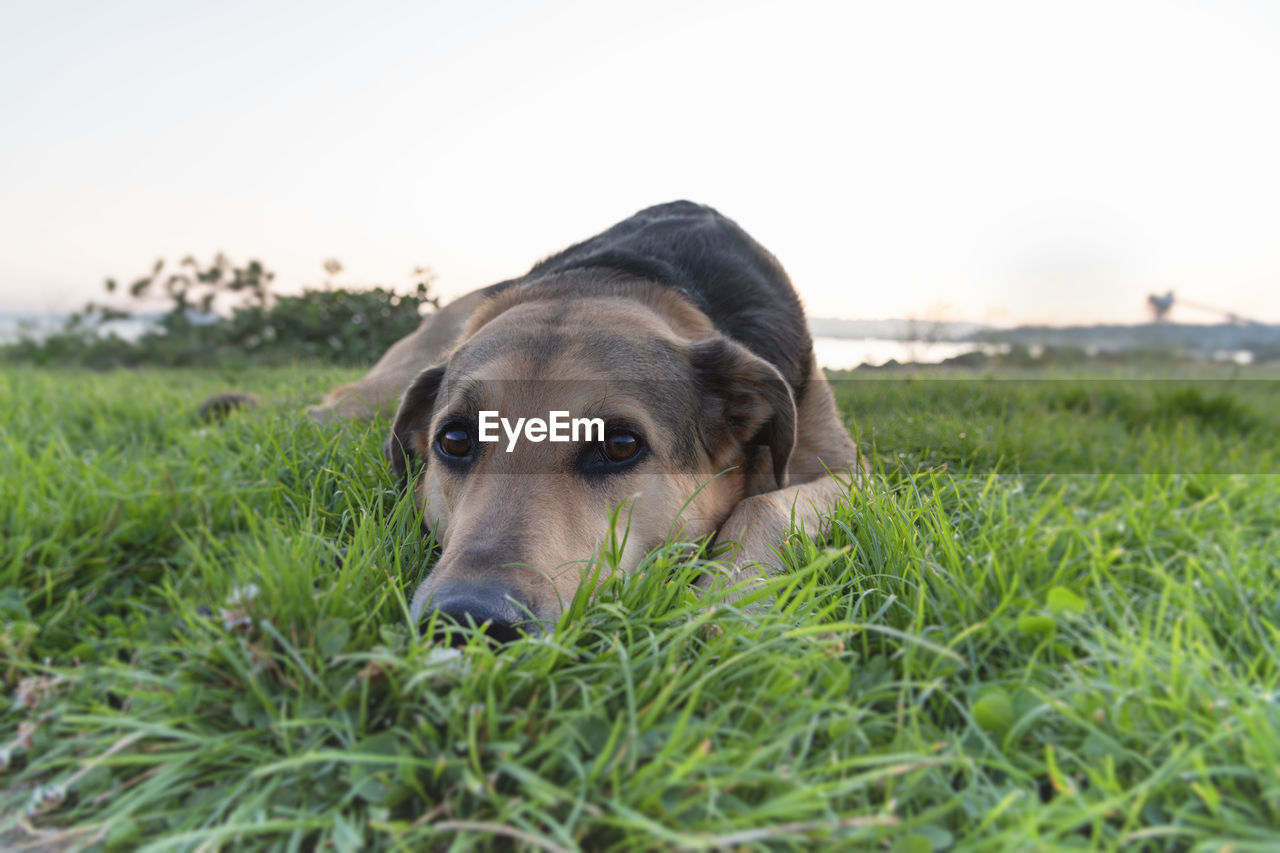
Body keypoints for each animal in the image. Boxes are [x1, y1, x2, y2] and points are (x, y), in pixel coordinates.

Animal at [307, 202, 860, 635]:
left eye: (620, 445)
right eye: (456, 439)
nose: (469, 618)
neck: (615, 278)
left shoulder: (855, 476)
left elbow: (764, 505)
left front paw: (727, 601)